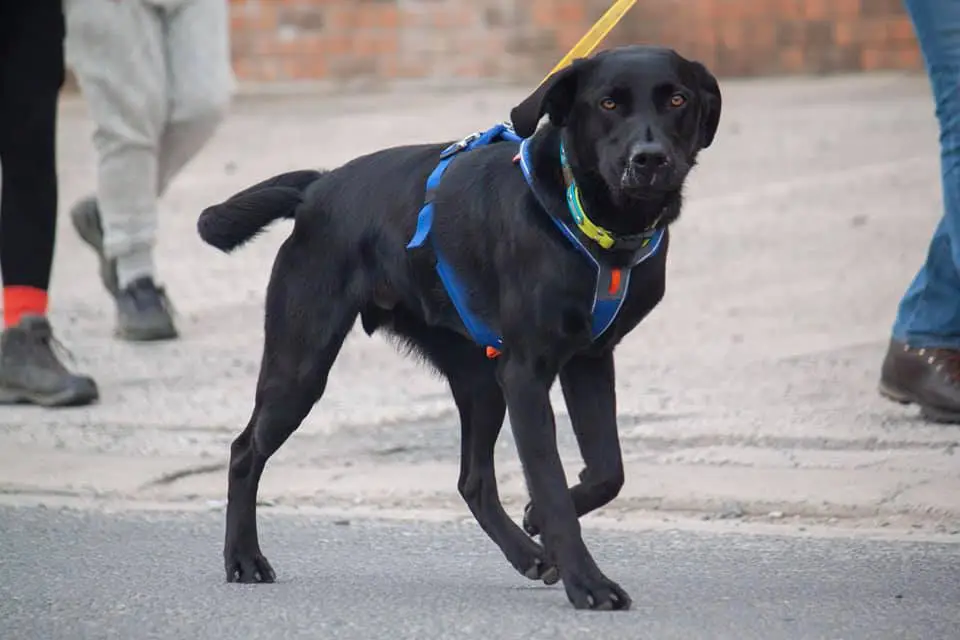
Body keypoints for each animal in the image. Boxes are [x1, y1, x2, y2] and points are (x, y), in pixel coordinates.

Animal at [197, 45, 720, 608]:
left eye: (676, 99)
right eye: (607, 103)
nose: (649, 159)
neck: (588, 220)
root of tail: (319, 187)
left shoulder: (588, 359)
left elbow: (607, 471)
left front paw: (538, 523)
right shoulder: (526, 375)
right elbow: (551, 484)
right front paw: (588, 583)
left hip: (479, 379)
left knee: (473, 480)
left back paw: (528, 553)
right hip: (301, 366)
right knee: (245, 450)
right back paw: (244, 558)